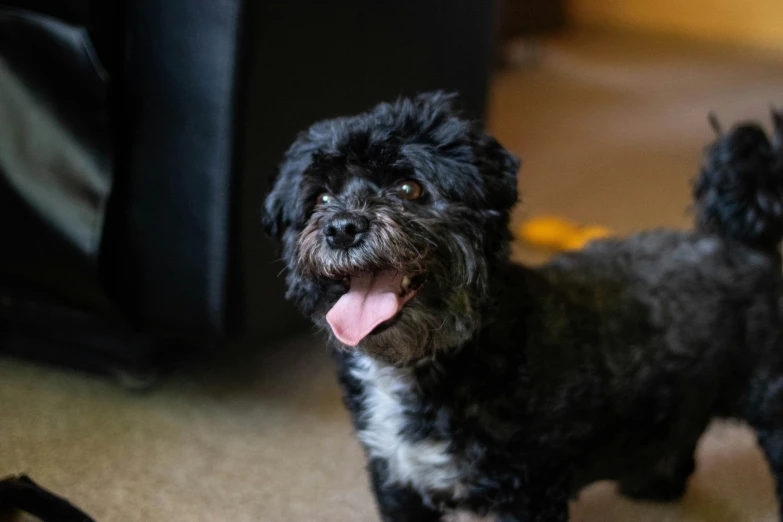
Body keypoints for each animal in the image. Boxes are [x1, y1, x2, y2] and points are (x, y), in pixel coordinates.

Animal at [264, 91, 783, 516]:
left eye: (410, 188)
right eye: (321, 198)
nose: (342, 228)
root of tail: (749, 244)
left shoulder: (529, 492)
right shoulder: (396, 480)